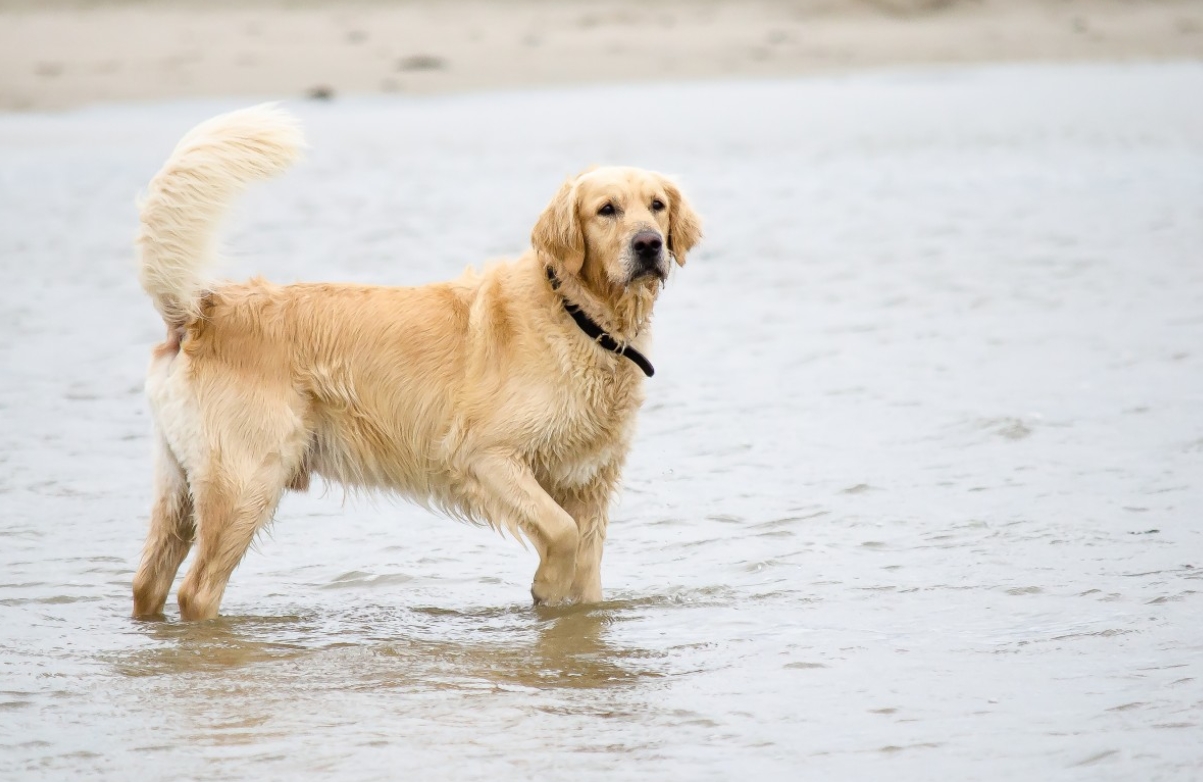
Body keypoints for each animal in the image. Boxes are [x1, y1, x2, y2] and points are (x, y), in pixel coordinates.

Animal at [128, 103, 702, 615]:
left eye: (656, 205)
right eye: (606, 209)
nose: (649, 244)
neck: (581, 318)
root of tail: (201, 310)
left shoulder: (590, 483)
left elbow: (586, 575)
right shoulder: (486, 455)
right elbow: (560, 532)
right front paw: (545, 585)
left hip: (181, 488)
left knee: (147, 583)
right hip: (247, 480)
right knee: (196, 591)